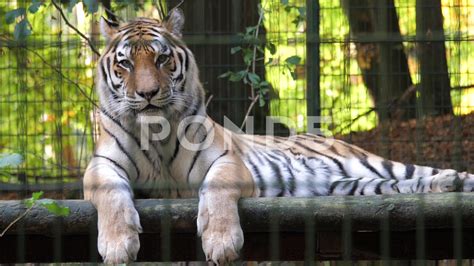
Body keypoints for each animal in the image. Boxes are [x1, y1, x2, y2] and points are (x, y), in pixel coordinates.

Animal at [83, 7, 474, 264]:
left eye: (162, 59)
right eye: (126, 63)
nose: (148, 94)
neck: (156, 131)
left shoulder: (226, 160)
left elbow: (217, 191)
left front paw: (221, 242)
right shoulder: (100, 166)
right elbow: (113, 197)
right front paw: (117, 247)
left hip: (371, 163)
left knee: (419, 172)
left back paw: (455, 180)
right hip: (354, 186)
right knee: (400, 186)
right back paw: (447, 184)